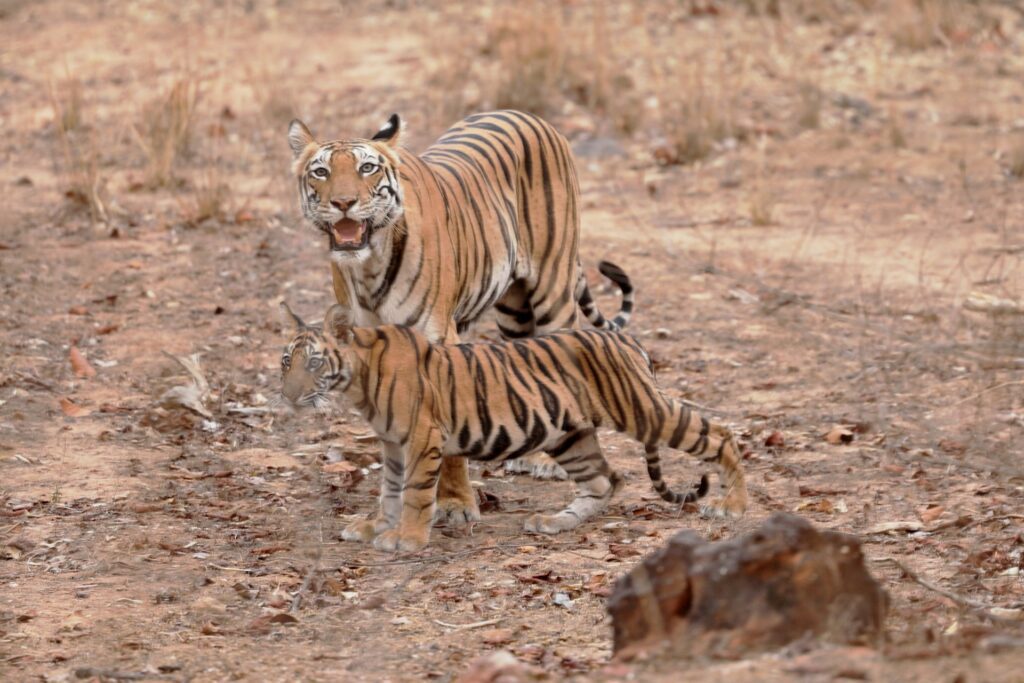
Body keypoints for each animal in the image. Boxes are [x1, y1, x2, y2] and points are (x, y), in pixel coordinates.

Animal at [279, 302, 748, 553]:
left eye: (314, 362)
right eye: (287, 361)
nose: (288, 395)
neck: (358, 380)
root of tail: (627, 340)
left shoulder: (422, 438)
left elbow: (414, 493)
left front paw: (407, 538)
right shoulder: (393, 444)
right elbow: (389, 490)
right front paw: (376, 526)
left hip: (644, 410)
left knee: (721, 434)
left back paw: (733, 505)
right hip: (570, 436)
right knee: (605, 480)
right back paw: (555, 522)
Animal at [286, 110, 636, 524]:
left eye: (367, 168)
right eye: (320, 172)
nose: (343, 202)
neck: (368, 267)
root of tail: (526, 114)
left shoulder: (436, 339)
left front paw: (454, 504)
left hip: (553, 289)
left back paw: (549, 464)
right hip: (514, 311)